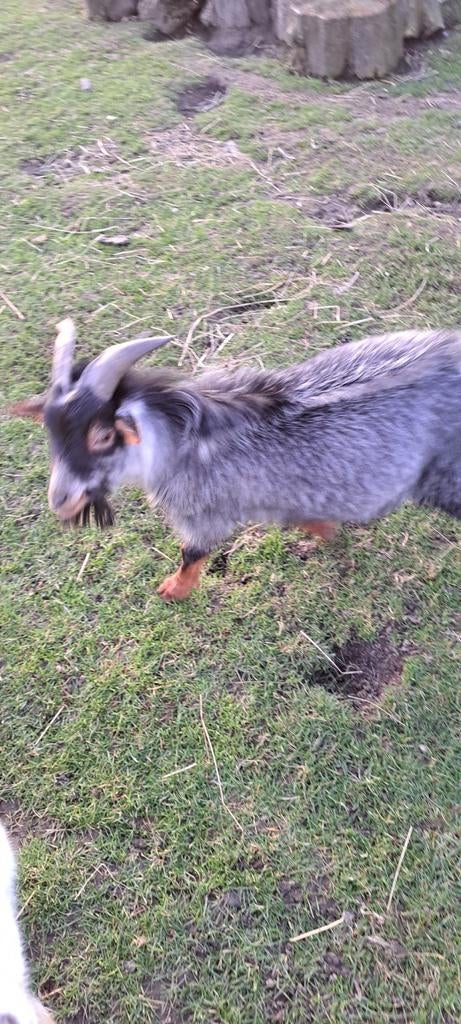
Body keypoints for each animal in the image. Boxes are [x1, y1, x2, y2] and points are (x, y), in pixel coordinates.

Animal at [10, 319, 461, 601]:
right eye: (51, 432)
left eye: (103, 436)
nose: (60, 500)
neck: (180, 439)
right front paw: (327, 533)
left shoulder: (204, 512)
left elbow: (191, 553)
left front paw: (173, 590)